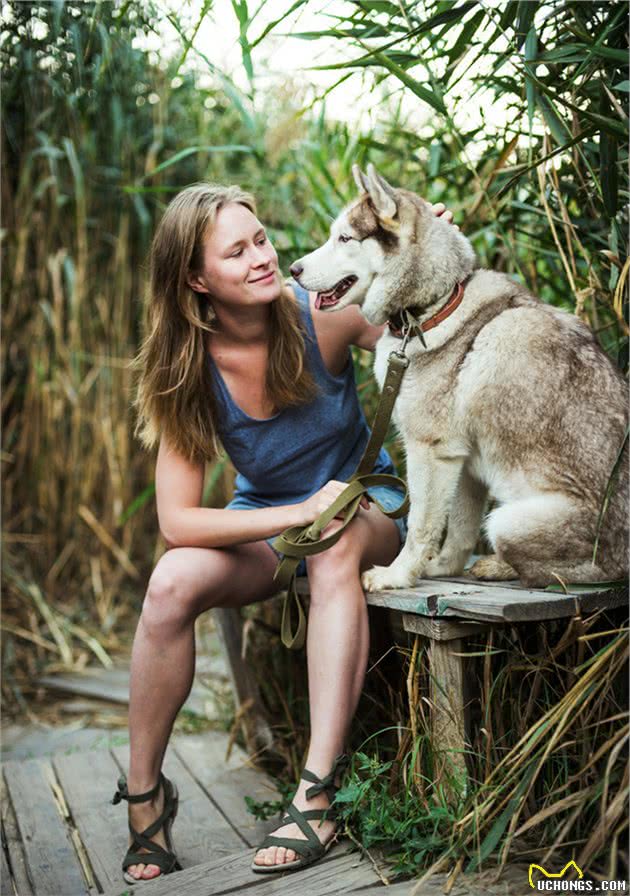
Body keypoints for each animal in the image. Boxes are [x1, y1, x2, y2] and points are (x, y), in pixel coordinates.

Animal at [288, 164, 628, 592]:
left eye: (345, 237)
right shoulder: (463, 462)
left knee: (567, 574)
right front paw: (441, 568)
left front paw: (398, 575)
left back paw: (501, 566)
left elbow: (421, 525)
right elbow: (459, 531)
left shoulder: (429, 450)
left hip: (507, 522)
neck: (434, 307)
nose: (293, 269)